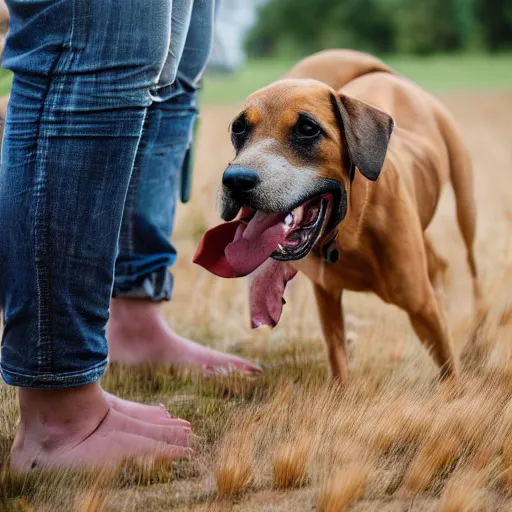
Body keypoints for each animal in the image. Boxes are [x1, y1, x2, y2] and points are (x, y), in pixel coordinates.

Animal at [194, 50, 482, 382]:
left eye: (308, 129)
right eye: (239, 128)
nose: (235, 180)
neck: (349, 231)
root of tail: (389, 76)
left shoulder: (423, 310)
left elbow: (450, 371)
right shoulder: (327, 298)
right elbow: (338, 360)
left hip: (466, 207)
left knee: (473, 272)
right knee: (438, 262)